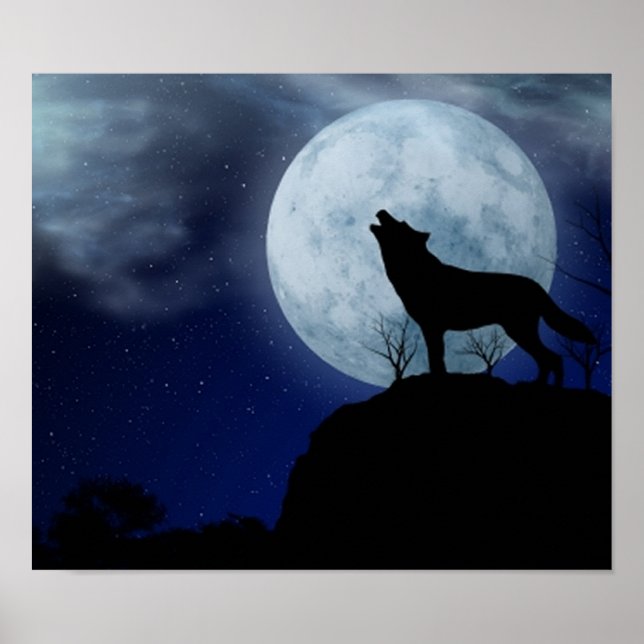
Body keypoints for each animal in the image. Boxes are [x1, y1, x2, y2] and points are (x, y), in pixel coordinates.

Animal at [370, 209, 595, 385]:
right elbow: (438, 360)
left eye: (400, 224)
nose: (382, 210)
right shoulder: (434, 329)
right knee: (549, 360)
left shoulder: (432, 328)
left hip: (519, 331)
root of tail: (536, 285)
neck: (415, 271)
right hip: (520, 332)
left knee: (552, 359)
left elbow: (436, 361)